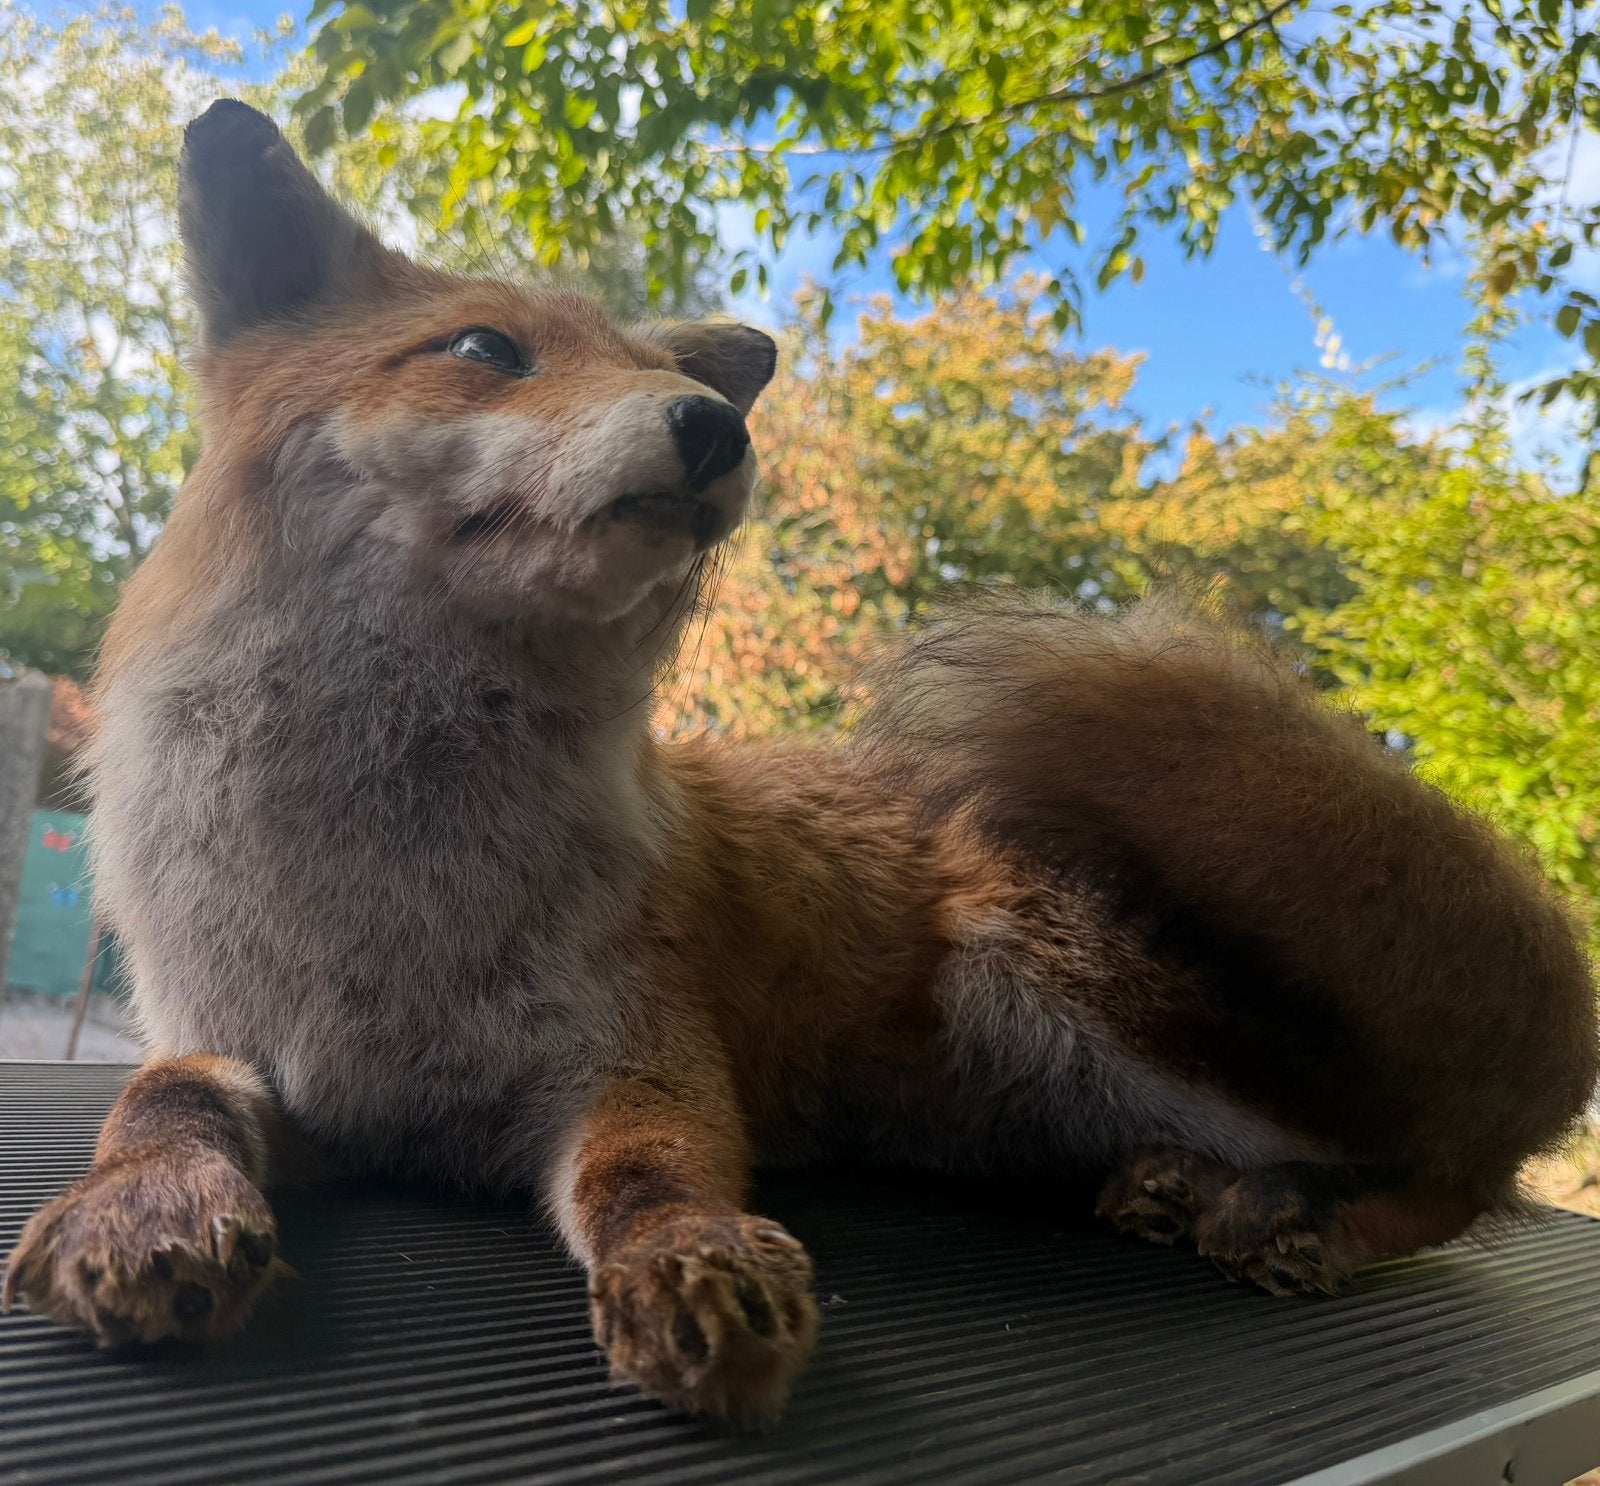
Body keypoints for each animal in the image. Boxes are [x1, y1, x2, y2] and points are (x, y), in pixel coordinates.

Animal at [3, 98, 1596, 1429]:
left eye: (662, 375)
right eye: (486, 352)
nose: (715, 424)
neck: (382, 873)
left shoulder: (640, 1052)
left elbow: (654, 1175)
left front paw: (695, 1261)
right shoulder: (230, 1038)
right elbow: (157, 1108)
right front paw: (140, 1210)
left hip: (1034, 972)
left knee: (1469, 1172)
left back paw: (1303, 1212)